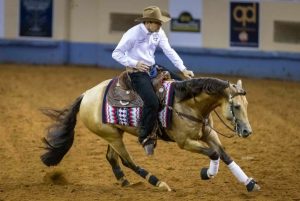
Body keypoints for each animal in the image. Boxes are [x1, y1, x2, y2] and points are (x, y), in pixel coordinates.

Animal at [39, 74, 260, 192]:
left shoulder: (208, 135)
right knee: (128, 161)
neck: (187, 104)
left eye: (248, 105)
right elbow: (214, 154)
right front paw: (207, 173)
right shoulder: (185, 142)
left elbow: (225, 155)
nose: (247, 131)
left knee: (112, 157)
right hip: (112, 136)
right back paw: (159, 183)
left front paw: (249, 183)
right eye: (237, 106)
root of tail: (86, 95)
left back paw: (124, 181)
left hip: (113, 133)